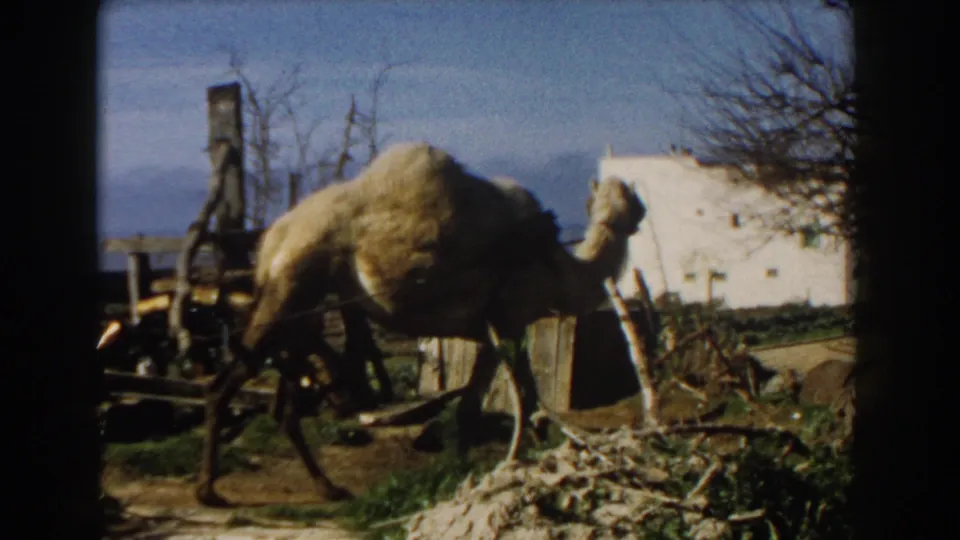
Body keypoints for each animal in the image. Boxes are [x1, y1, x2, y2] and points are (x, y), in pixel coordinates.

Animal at [195, 142, 646, 506]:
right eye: (631, 196)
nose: (638, 213)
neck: (555, 263)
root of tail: (273, 239)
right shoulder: (509, 318)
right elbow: (511, 399)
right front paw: (502, 466)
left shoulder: (494, 328)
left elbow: (492, 404)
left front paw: (483, 468)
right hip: (289, 289)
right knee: (226, 384)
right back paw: (208, 491)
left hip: (306, 309)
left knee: (286, 403)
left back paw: (328, 487)